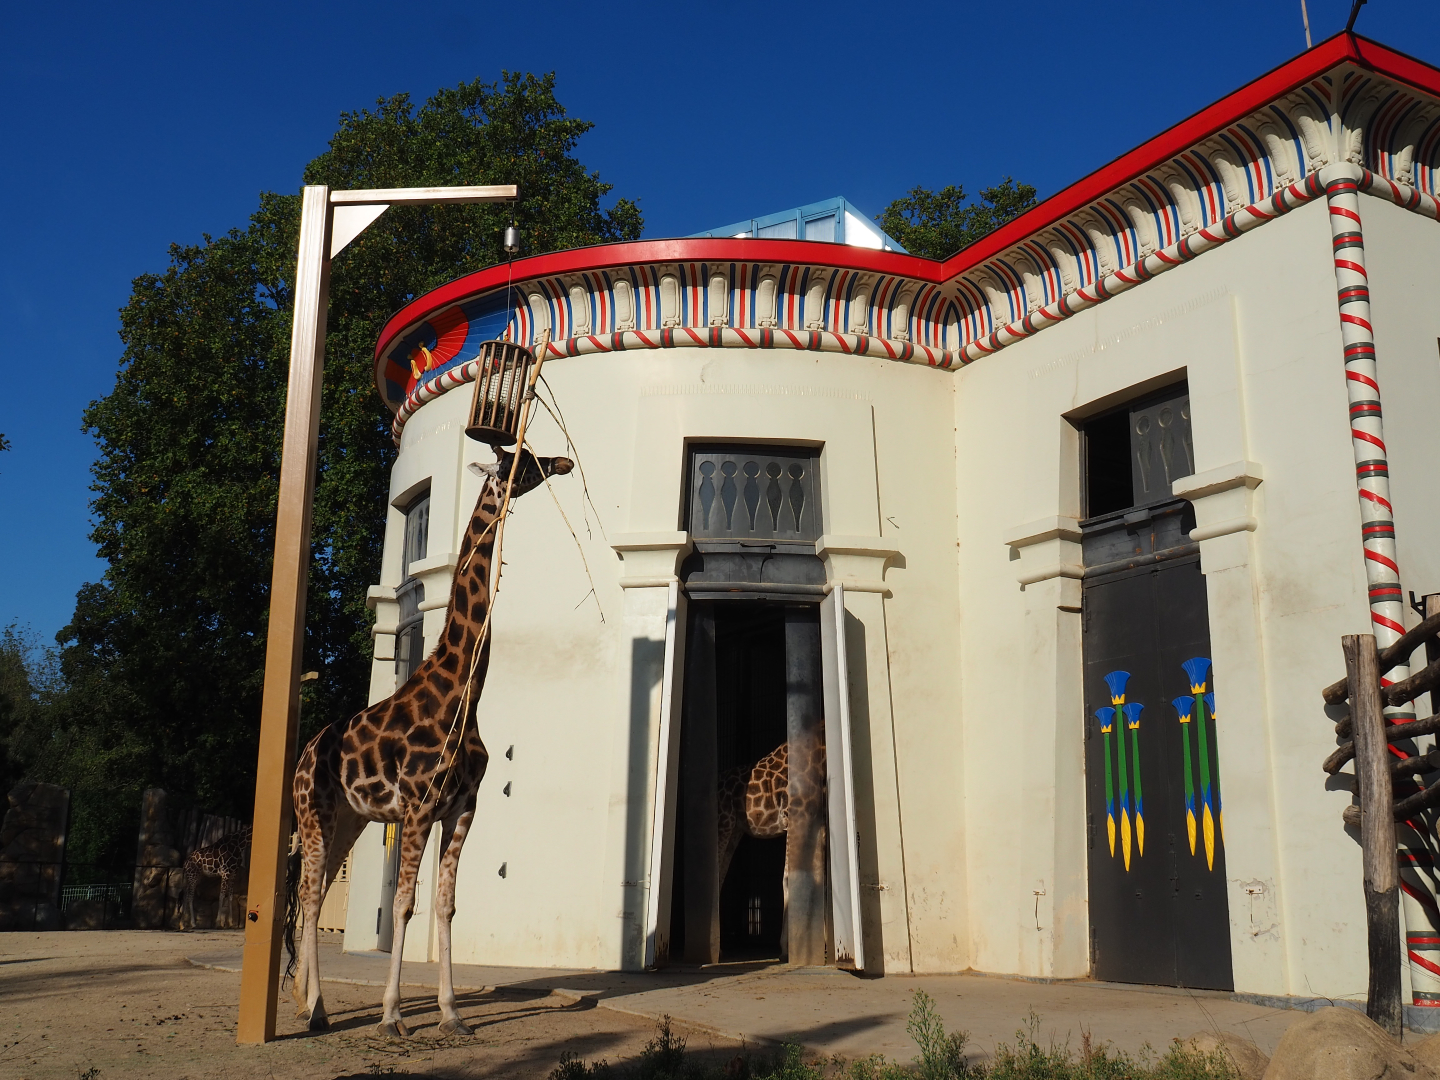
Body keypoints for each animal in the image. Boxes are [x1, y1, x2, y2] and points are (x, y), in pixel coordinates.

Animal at [287, 444, 572, 1037]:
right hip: (313, 813)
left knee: (316, 892)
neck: (463, 690)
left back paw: (309, 1005)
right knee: (309, 895)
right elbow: (402, 904)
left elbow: (445, 905)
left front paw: (451, 1013)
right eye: (525, 460)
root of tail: (304, 754)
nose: (563, 463)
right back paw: (316, 1006)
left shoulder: (462, 807)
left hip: (349, 820)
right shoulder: (418, 807)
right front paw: (393, 1014)